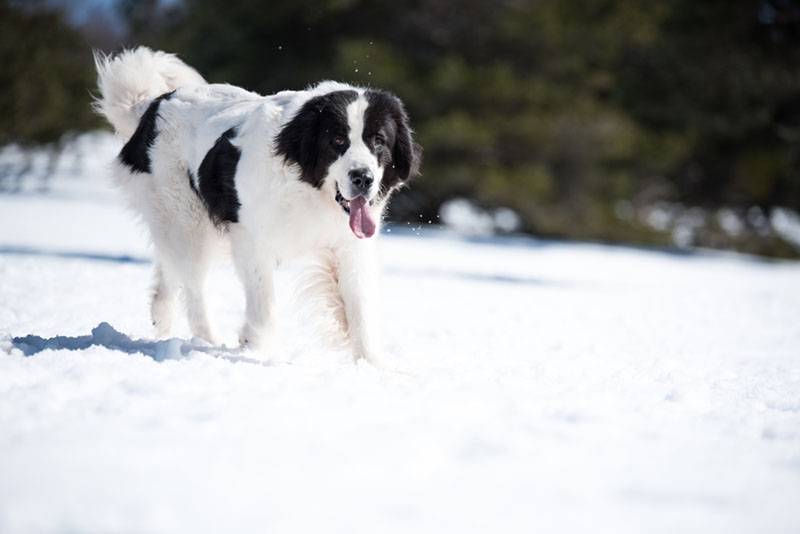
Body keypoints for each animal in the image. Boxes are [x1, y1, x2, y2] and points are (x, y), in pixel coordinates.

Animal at [93, 48, 418, 364]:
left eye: (379, 141)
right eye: (338, 140)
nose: (363, 177)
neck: (307, 185)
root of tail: (153, 105)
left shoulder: (350, 245)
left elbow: (360, 304)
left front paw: (372, 365)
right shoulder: (250, 238)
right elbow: (265, 303)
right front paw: (257, 350)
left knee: (172, 270)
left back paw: (161, 318)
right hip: (186, 220)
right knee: (193, 287)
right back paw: (207, 343)